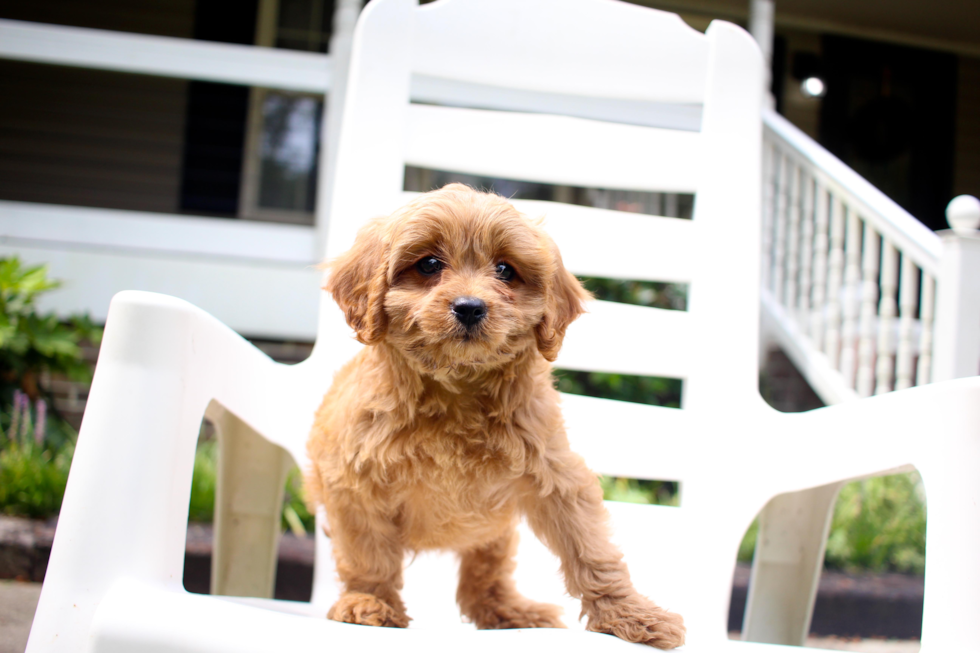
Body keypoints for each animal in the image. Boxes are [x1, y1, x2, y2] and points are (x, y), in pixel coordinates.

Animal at [306, 183, 680, 648]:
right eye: (429, 264)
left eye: (505, 270)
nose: (469, 307)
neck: (457, 388)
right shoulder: (355, 480)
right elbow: (369, 552)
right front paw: (370, 602)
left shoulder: (557, 476)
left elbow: (590, 549)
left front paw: (631, 615)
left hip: (494, 534)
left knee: (485, 576)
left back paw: (509, 611)